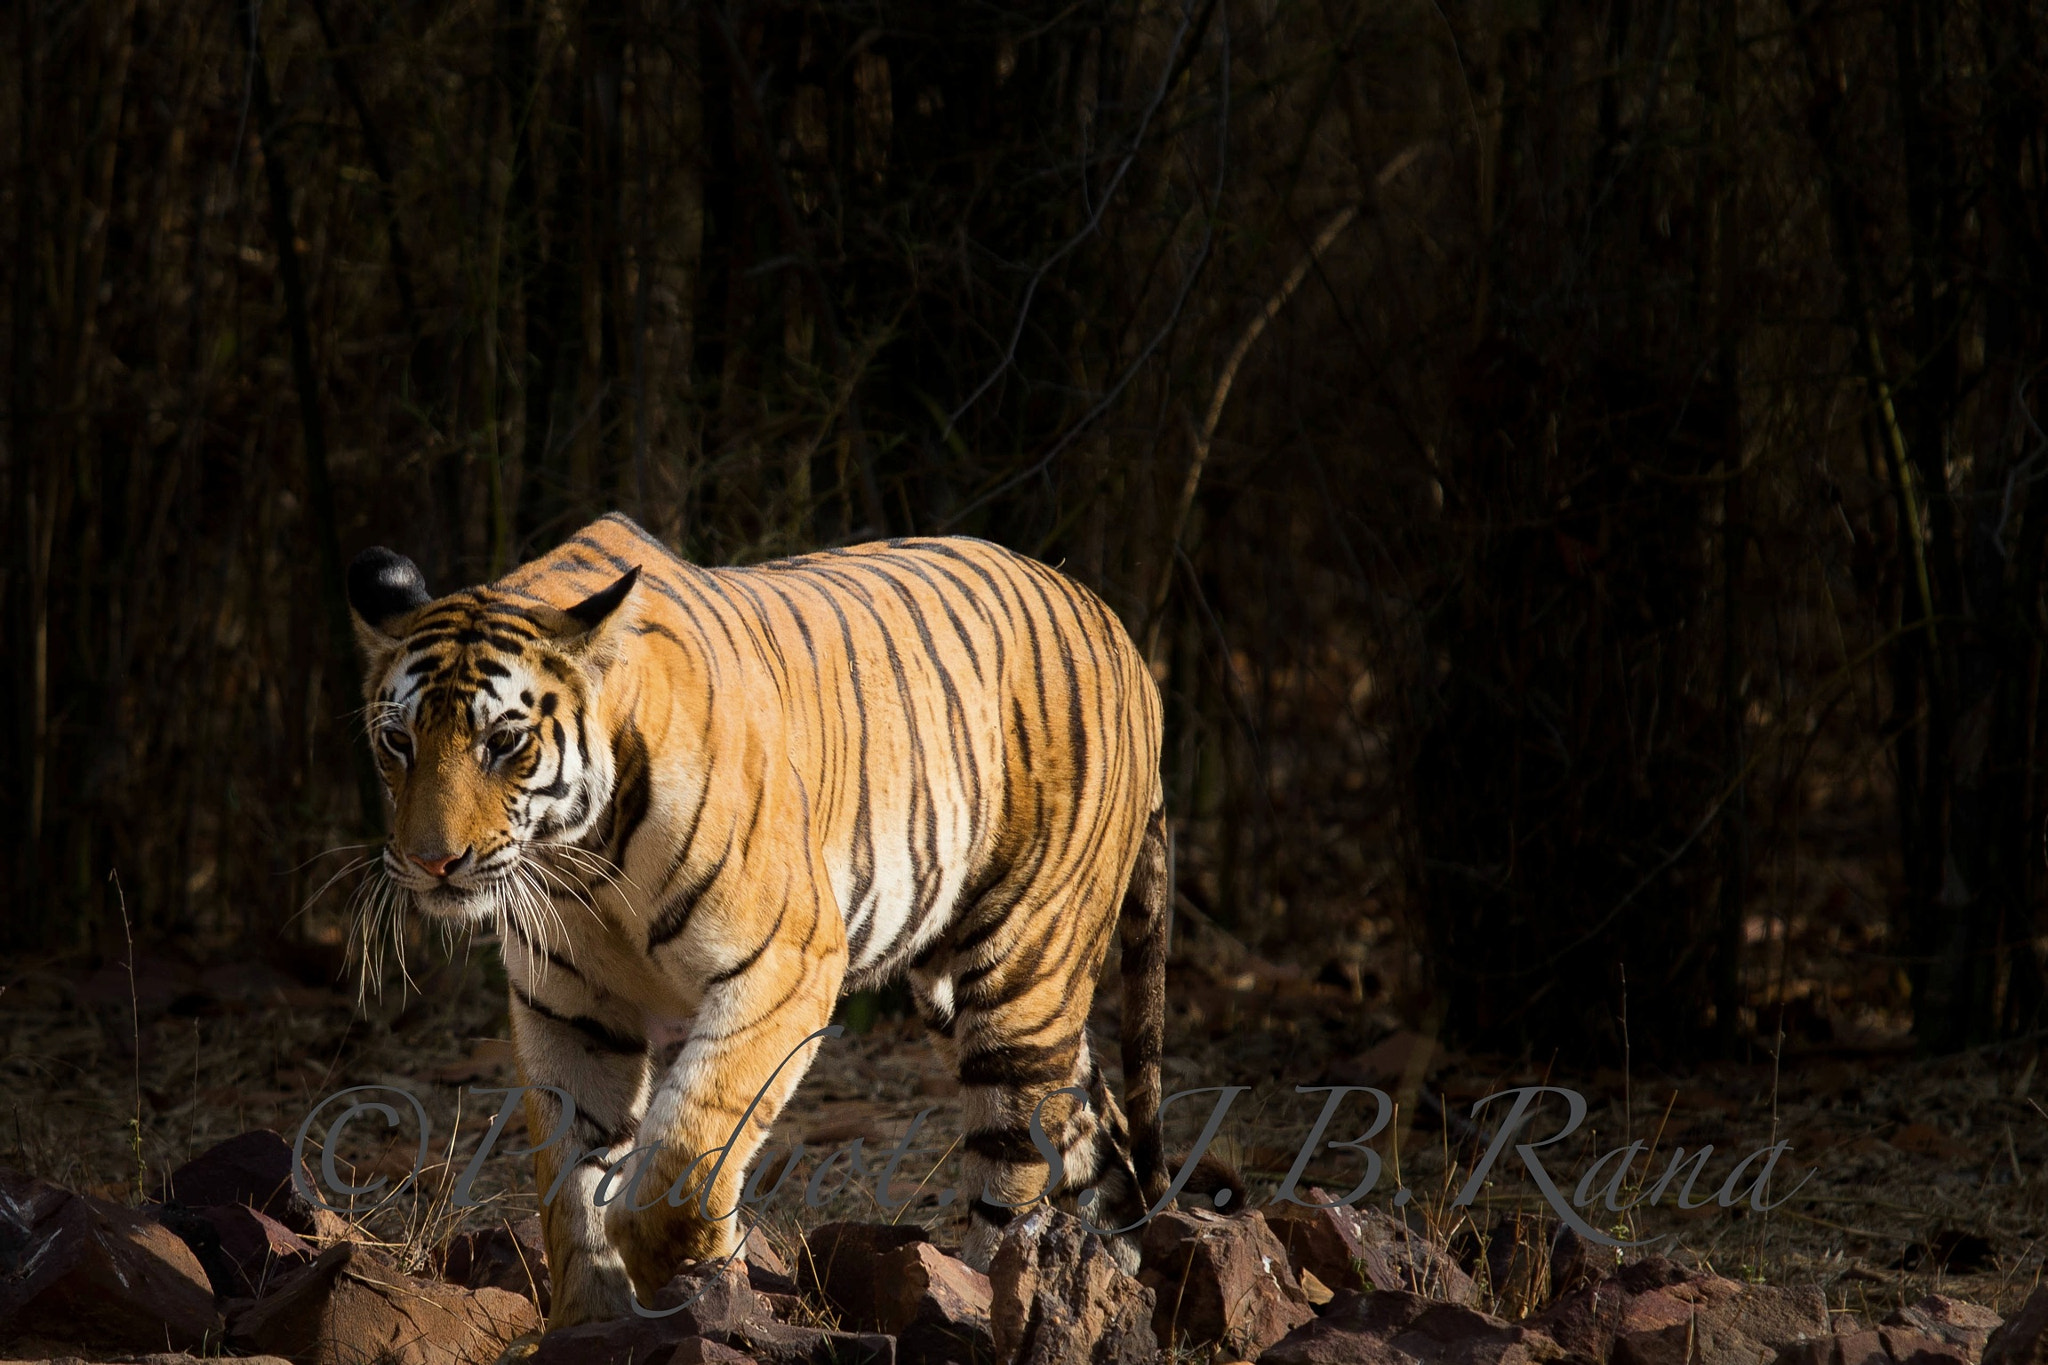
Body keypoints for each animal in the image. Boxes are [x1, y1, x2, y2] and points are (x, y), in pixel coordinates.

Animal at [346, 509, 1179, 1326]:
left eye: (504, 742)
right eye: (397, 742)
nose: (431, 861)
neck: (579, 858)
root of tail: (1121, 634)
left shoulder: (785, 962)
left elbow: (688, 1148)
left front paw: (707, 1264)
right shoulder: (570, 1008)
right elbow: (570, 1189)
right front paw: (593, 1320)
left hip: (1022, 978)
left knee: (1014, 1175)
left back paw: (990, 1306)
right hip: (964, 990)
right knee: (1095, 1132)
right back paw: (1112, 1288)